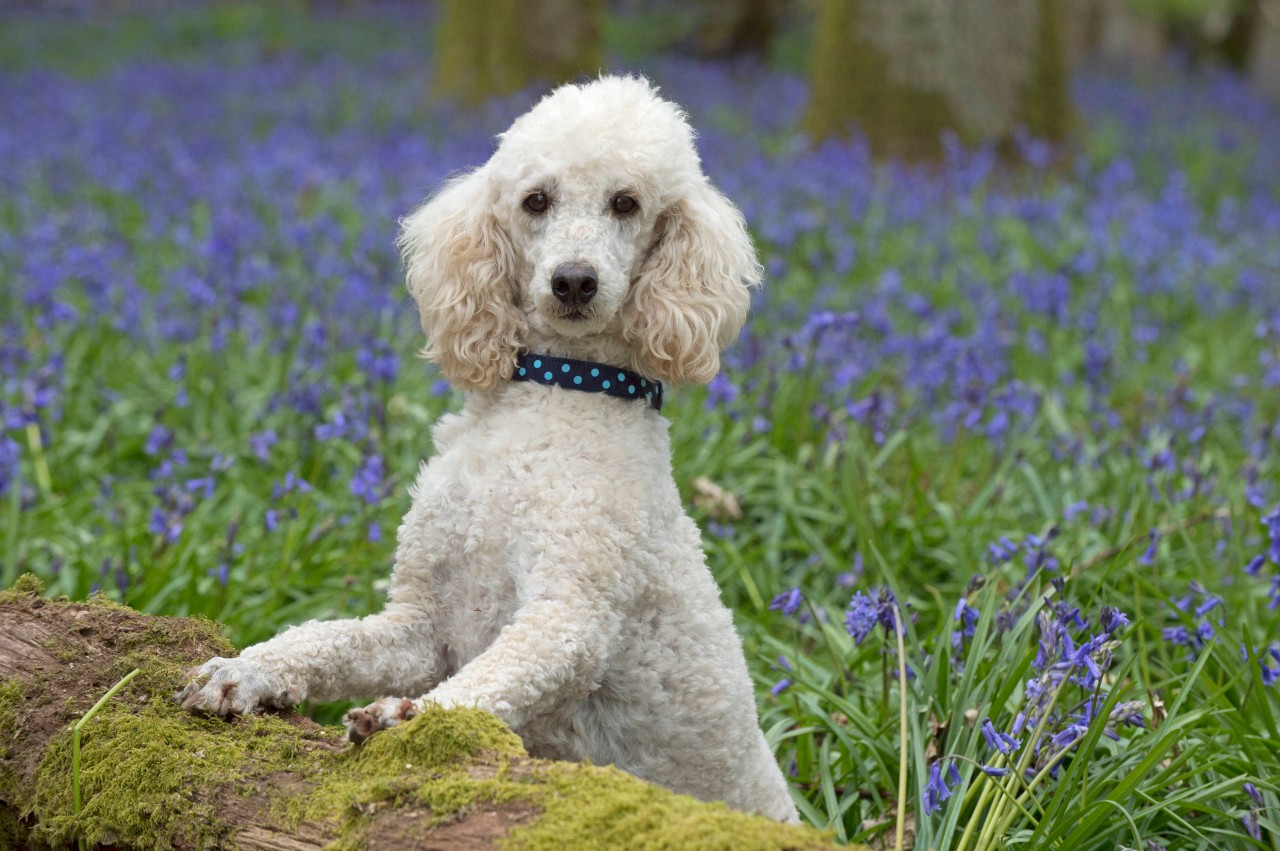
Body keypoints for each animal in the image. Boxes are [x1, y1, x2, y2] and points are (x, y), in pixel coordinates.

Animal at [177, 74, 798, 824]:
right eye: (536, 200)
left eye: (626, 202)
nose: (573, 280)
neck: (555, 395)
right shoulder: (424, 624)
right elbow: (324, 638)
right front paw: (248, 670)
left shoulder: (569, 616)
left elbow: (485, 684)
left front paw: (405, 716)